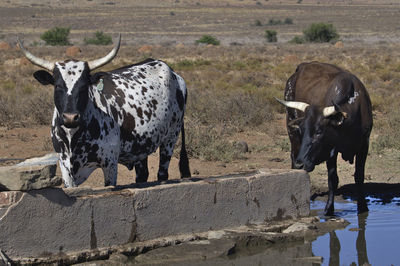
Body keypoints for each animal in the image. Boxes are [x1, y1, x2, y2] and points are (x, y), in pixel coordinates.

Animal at [19, 35, 191, 188]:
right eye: (57, 86)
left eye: (83, 86)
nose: (70, 117)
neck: (74, 137)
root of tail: (173, 73)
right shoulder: (65, 167)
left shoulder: (110, 164)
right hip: (142, 145)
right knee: (142, 175)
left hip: (170, 138)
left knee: (162, 173)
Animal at [276, 61, 374, 215]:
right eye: (302, 130)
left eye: (319, 132)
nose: (300, 164)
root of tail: (301, 67)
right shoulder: (330, 151)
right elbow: (332, 179)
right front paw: (329, 210)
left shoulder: (364, 144)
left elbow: (359, 176)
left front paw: (363, 207)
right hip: (291, 132)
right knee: (293, 156)